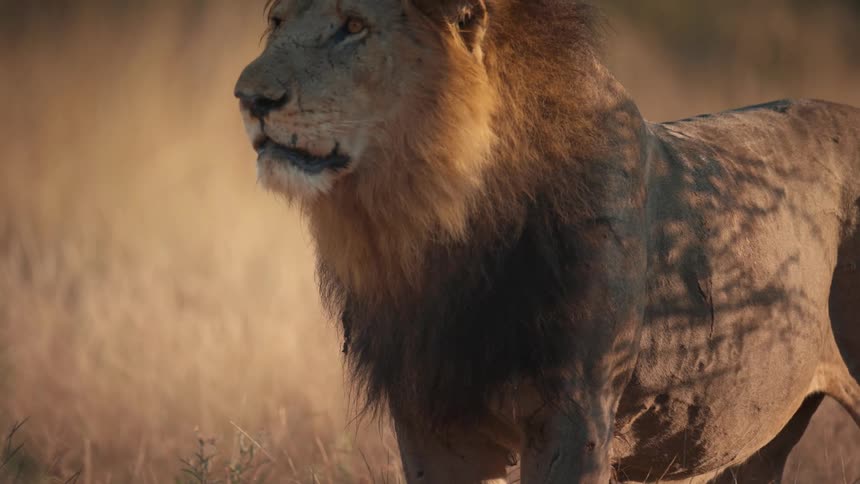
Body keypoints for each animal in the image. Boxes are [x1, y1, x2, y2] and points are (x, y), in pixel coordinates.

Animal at [234, 0, 860, 482]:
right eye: (278, 20)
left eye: (354, 25)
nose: (249, 98)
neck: (444, 227)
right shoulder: (431, 421)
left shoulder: (575, 414)